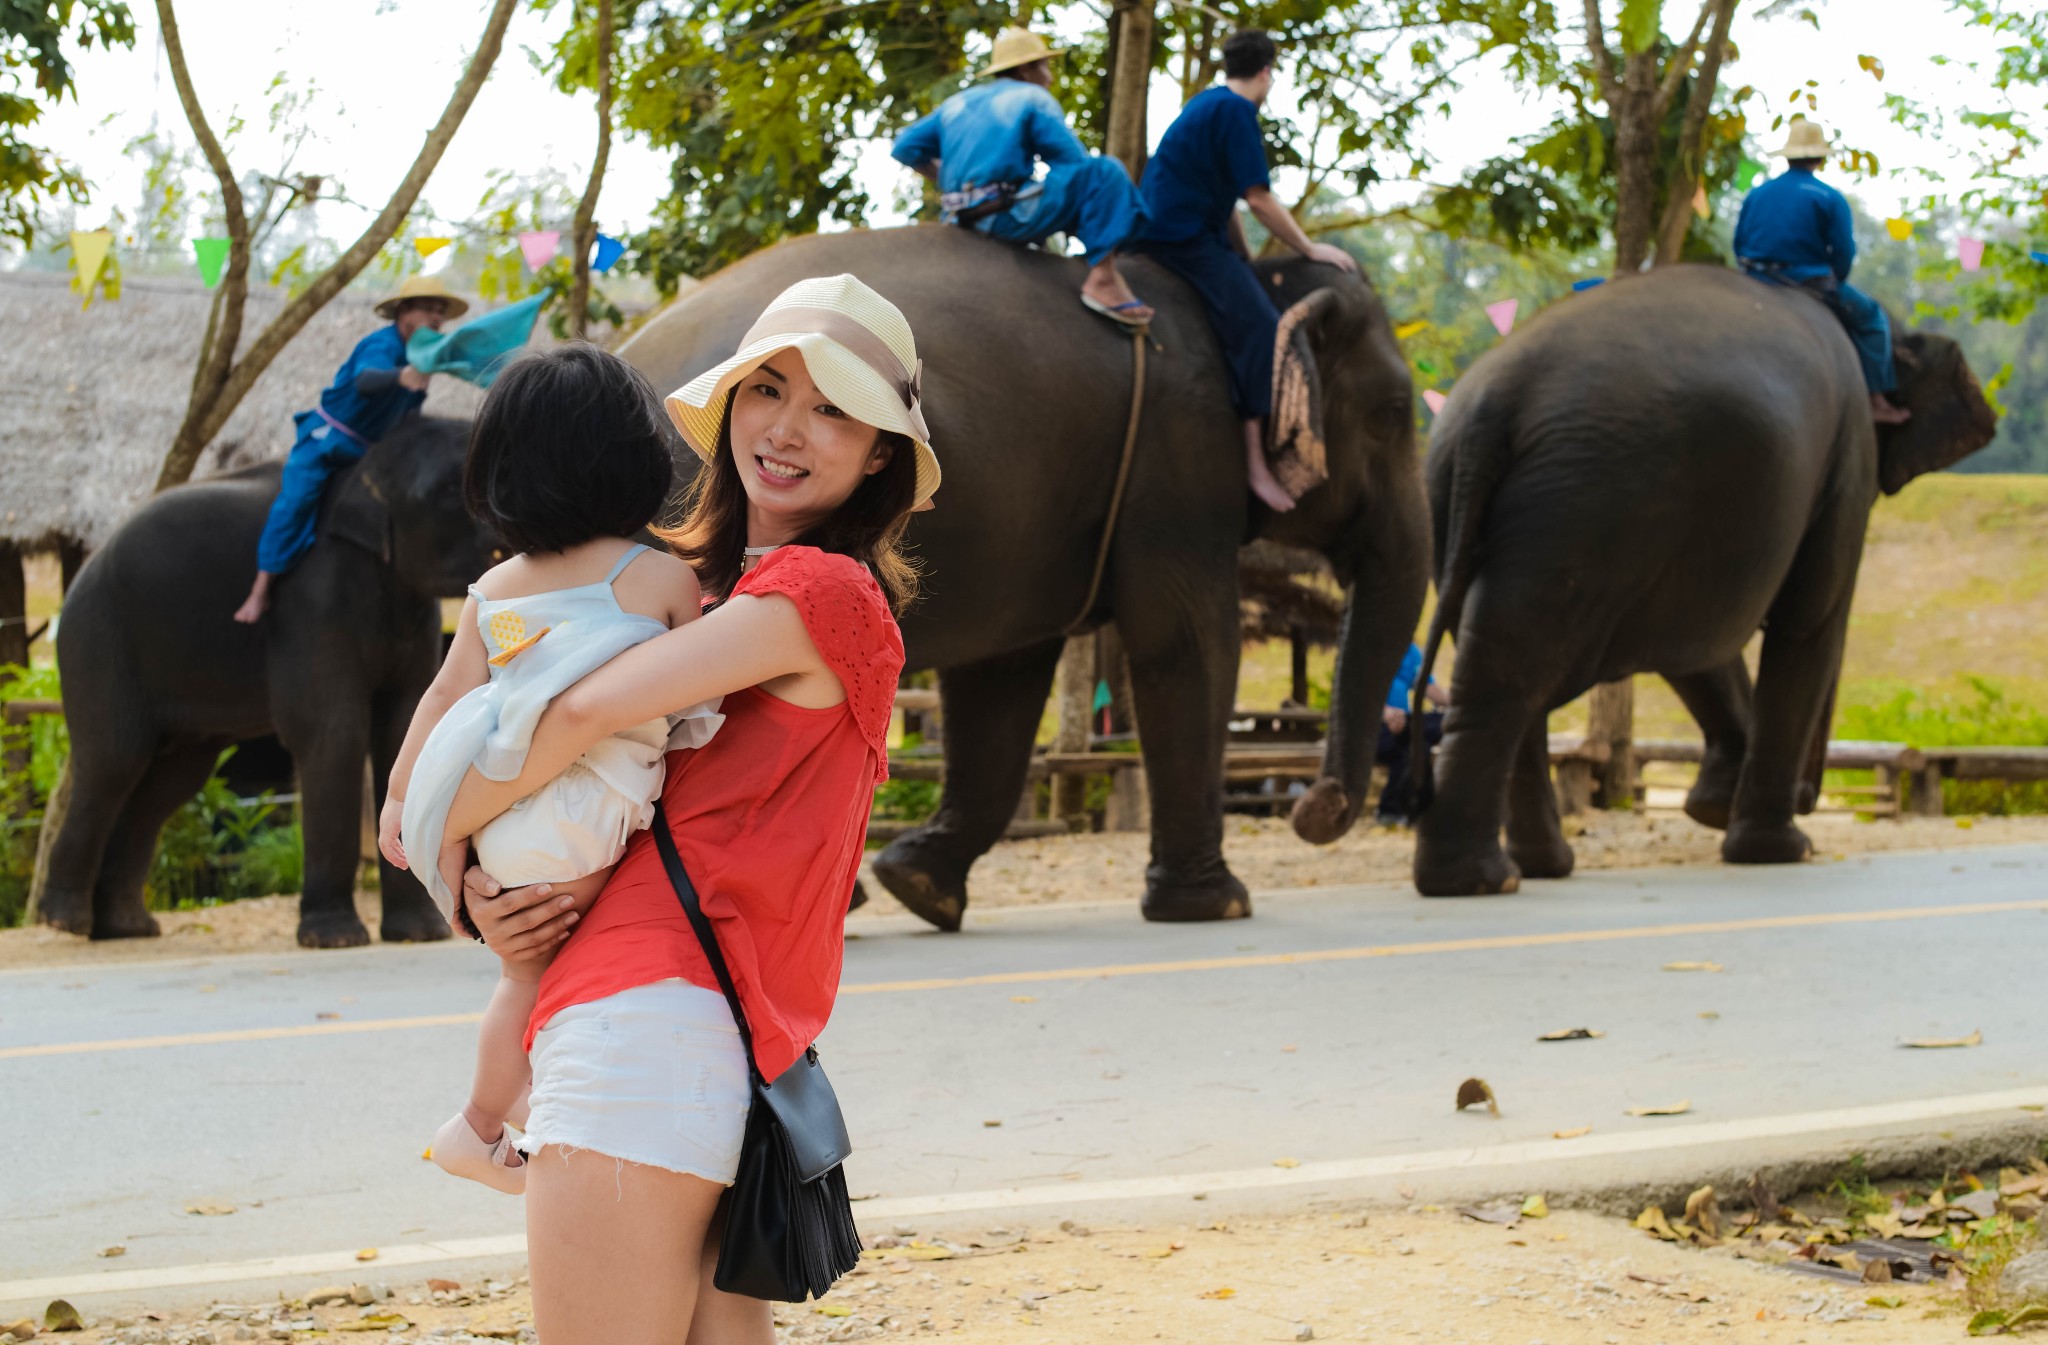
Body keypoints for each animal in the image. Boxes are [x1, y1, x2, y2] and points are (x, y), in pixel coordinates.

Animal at [37, 419, 493, 945]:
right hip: (96, 637)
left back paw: (128, 927)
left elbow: (407, 727)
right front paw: (335, 940)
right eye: (453, 490)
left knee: (173, 779)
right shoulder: (310, 598)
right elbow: (333, 731)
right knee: (113, 760)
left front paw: (419, 934)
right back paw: (65, 921)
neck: (365, 467)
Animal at [614, 225, 1433, 929]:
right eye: (1394, 412)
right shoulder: (1184, 459)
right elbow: (1187, 643)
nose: (1314, 806)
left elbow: (1001, 680)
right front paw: (1217, 906)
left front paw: (923, 888)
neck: (1255, 283)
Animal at [1409, 264, 1998, 896]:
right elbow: (1806, 619)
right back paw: (1487, 879)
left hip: (1475, 502)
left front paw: (1713, 811)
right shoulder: (1848, 460)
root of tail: (1490, 405)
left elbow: (1698, 643)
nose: (1809, 796)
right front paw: (1780, 850)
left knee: (1502, 659)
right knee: (1518, 668)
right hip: (1588, 503)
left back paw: (1527, 870)